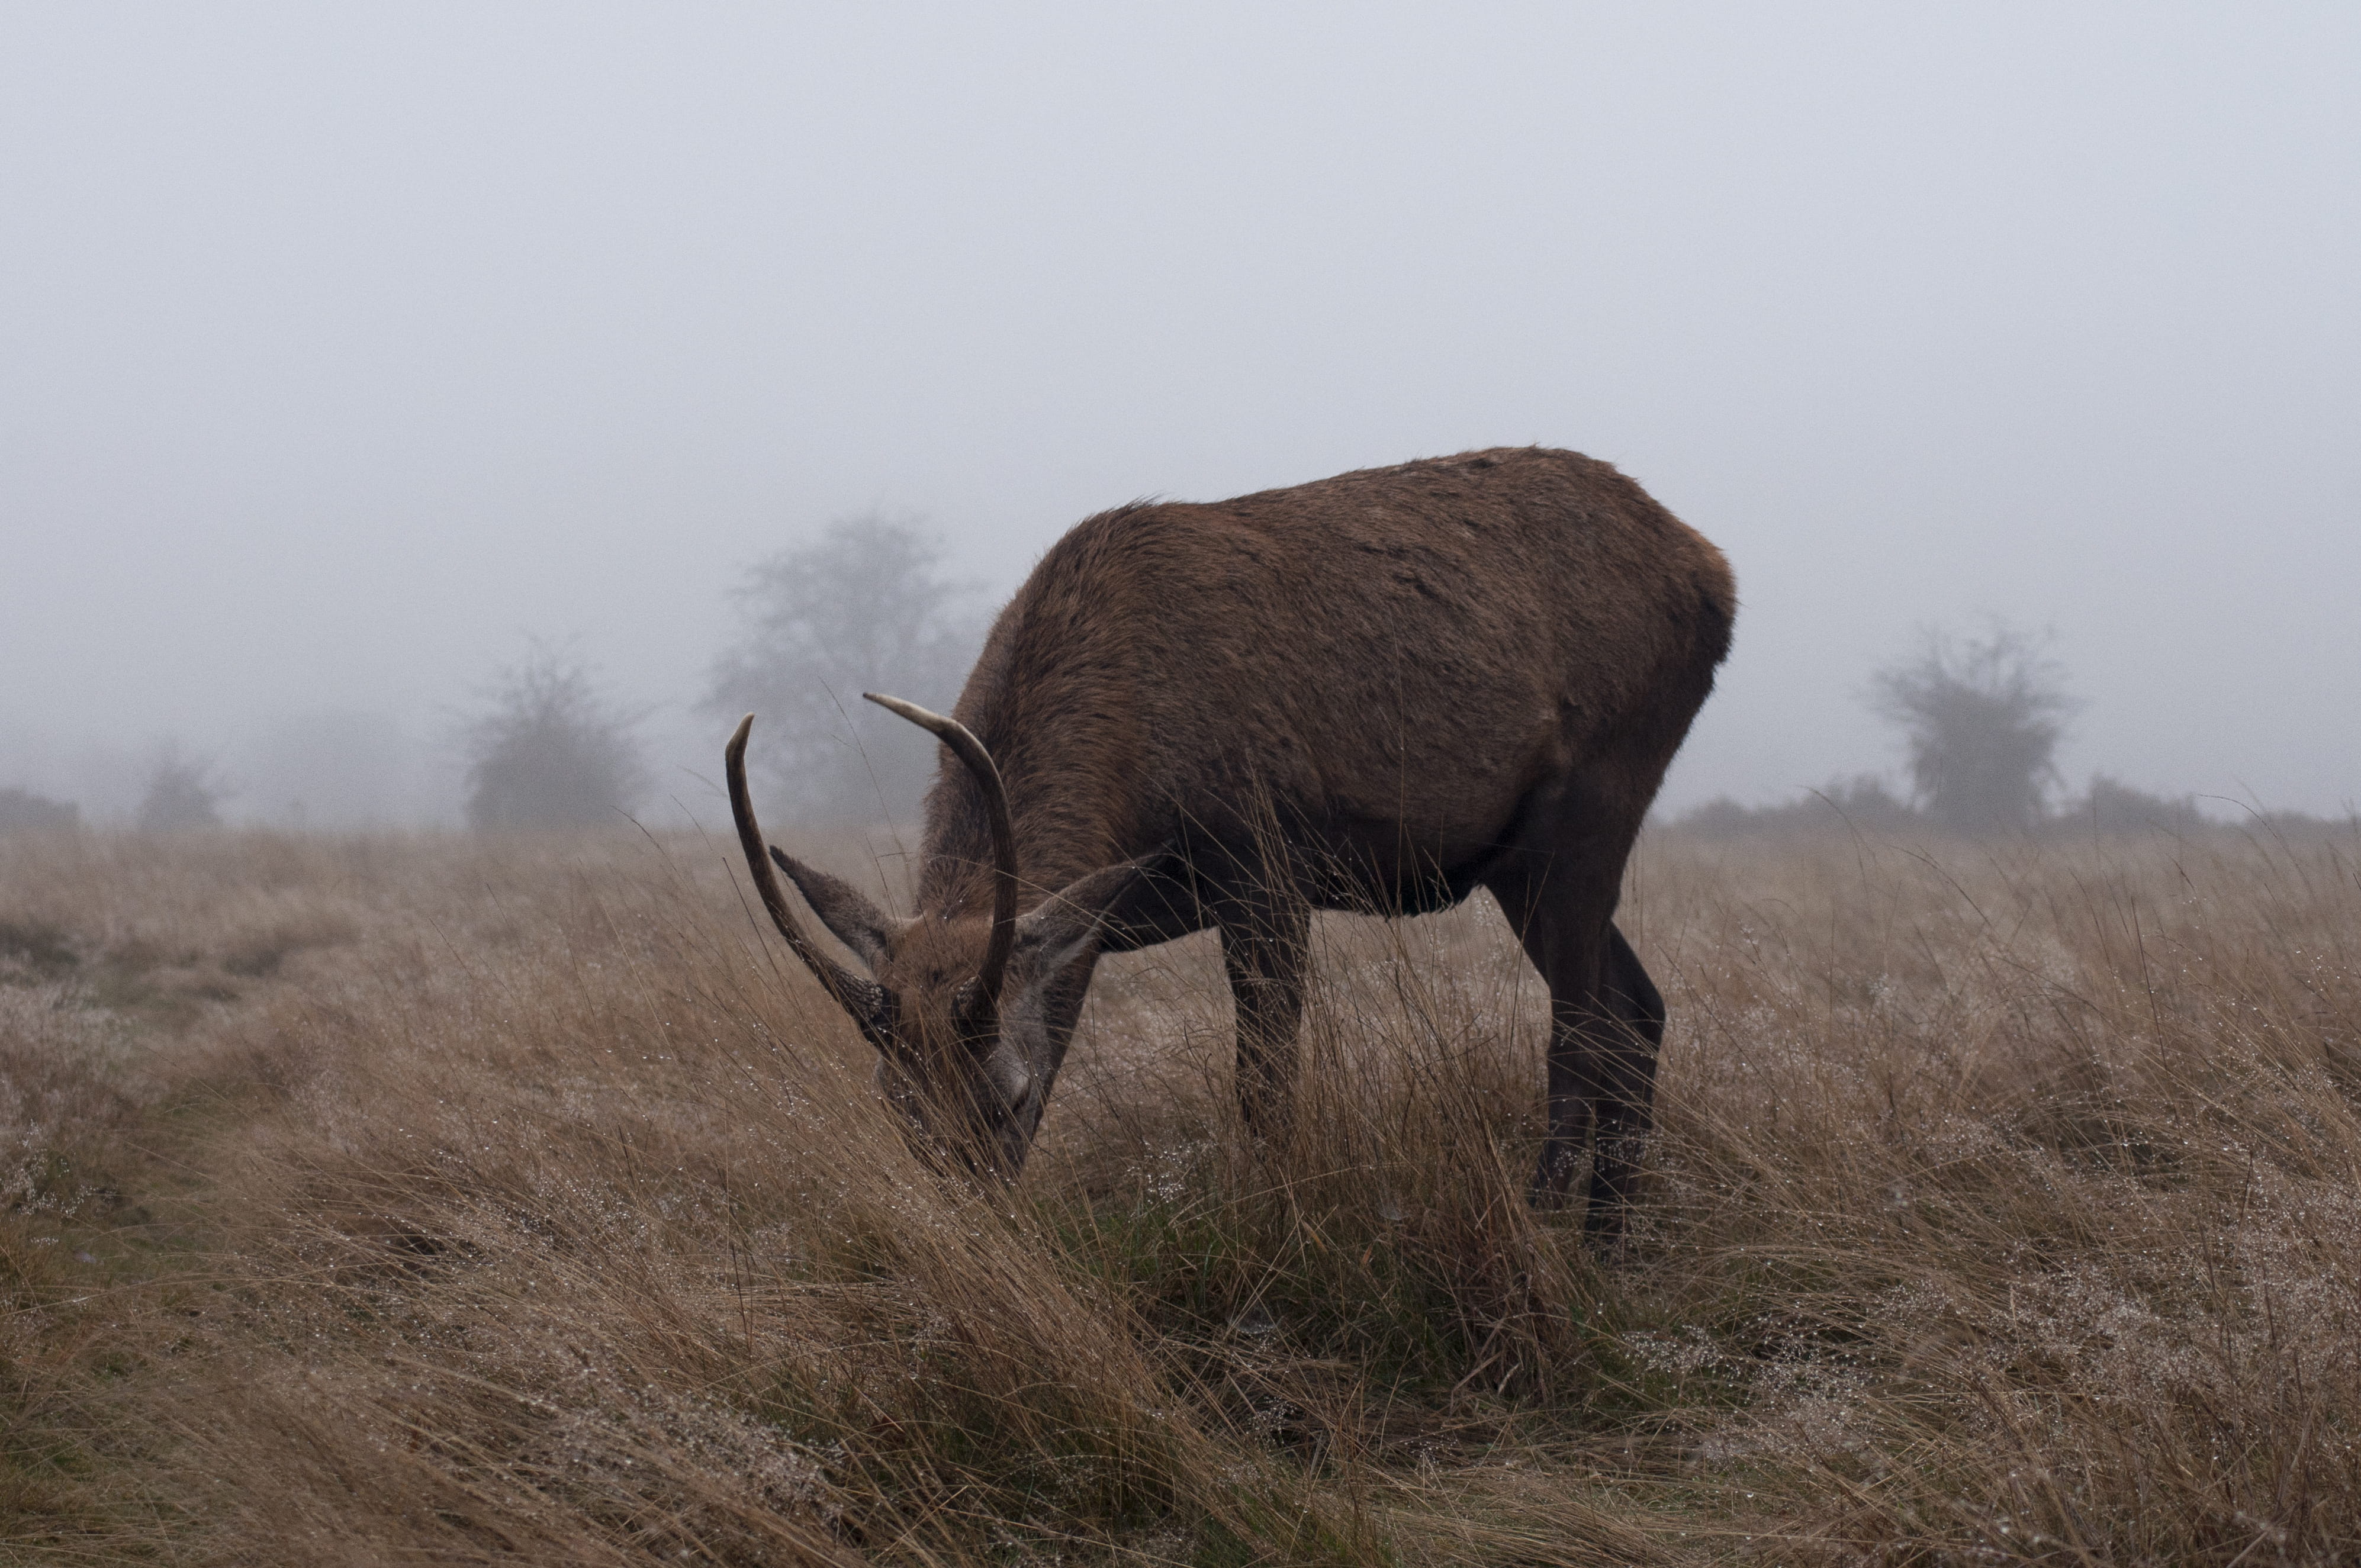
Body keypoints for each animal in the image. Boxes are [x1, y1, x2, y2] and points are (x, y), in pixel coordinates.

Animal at [725, 446, 1734, 1243]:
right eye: (894, 1104)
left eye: (1003, 1094)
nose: (968, 1239)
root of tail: (1716, 575)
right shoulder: (1093, 926)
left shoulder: (1268, 869)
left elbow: (1264, 1089)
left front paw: (1280, 1231)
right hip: (1517, 863)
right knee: (1639, 1007)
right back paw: (1611, 1236)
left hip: (1596, 798)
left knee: (1585, 1027)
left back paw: (1548, 1223)